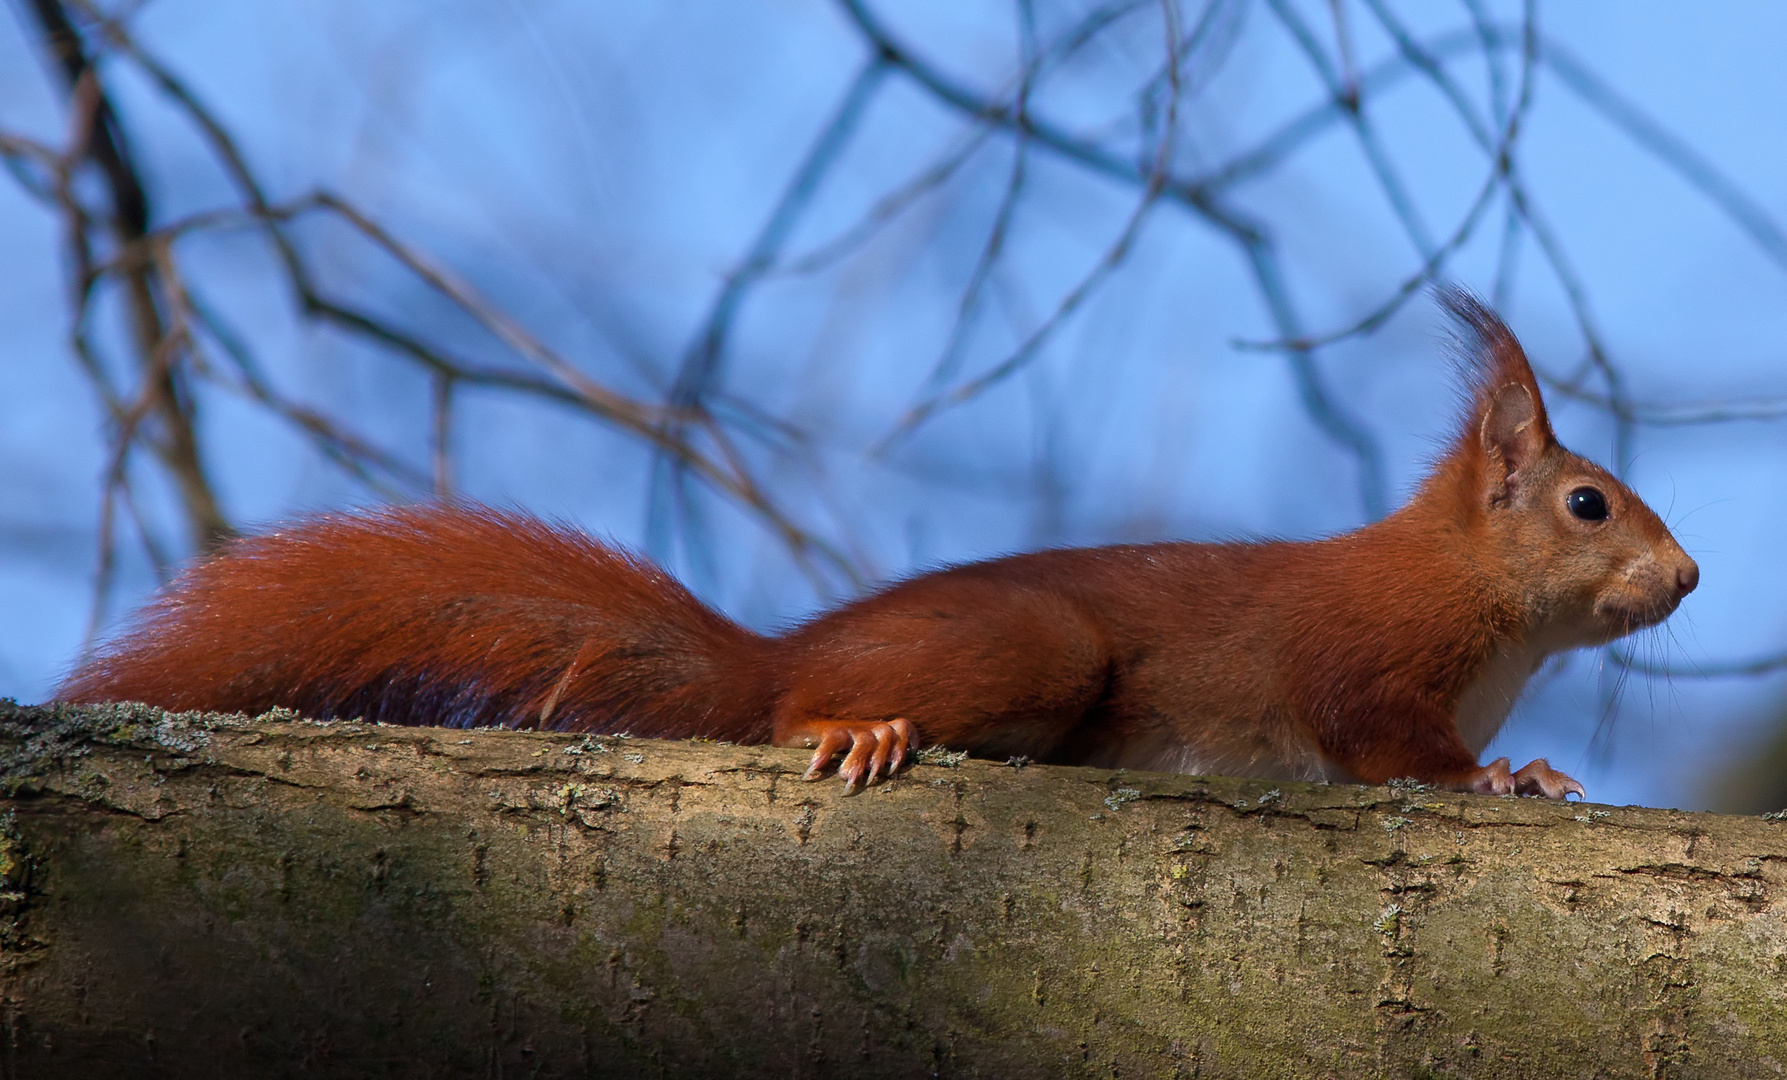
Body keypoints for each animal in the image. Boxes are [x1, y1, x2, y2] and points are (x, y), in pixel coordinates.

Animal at [55, 291, 1694, 797]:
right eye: (1588, 503)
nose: (1684, 579)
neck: (1481, 606)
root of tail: (774, 650)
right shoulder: (1368, 659)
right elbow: (1383, 744)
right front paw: (1506, 779)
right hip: (1034, 650)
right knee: (790, 712)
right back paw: (849, 724)